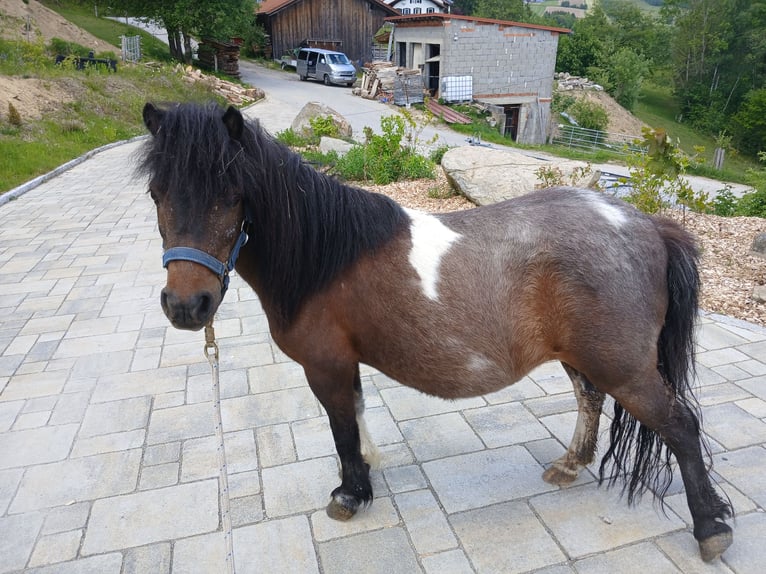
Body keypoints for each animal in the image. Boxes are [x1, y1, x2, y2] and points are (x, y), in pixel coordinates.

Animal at [138, 101, 733, 562]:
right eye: (156, 194)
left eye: (231, 195)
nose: (187, 306)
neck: (326, 256)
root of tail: (648, 224)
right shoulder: (344, 364)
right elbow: (356, 418)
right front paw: (365, 477)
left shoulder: (325, 366)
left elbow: (342, 429)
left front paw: (350, 494)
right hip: (587, 356)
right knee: (590, 399)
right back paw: (570, 465)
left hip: (625, 366)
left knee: (681, 426)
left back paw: (711, 529)